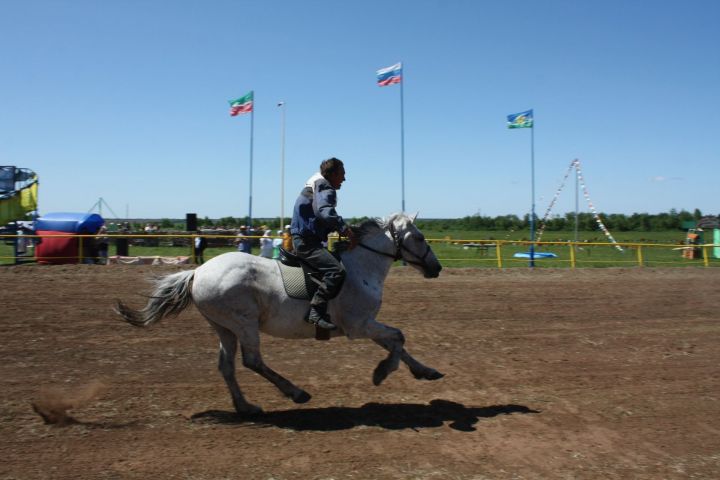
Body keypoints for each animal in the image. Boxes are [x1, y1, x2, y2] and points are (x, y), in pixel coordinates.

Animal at [116, 212, 444, 414]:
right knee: (252, 361)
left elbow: (397, 343)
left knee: (226, 366)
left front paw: (425, 371)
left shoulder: (366, 324)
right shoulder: (359, 326)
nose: (437, 267)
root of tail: (198, 271)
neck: (361, 268)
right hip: (244, 323)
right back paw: (296, 393)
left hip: (224, 327)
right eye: (419, 237)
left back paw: (246, 407)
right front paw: (381, 373)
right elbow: (398, 338)